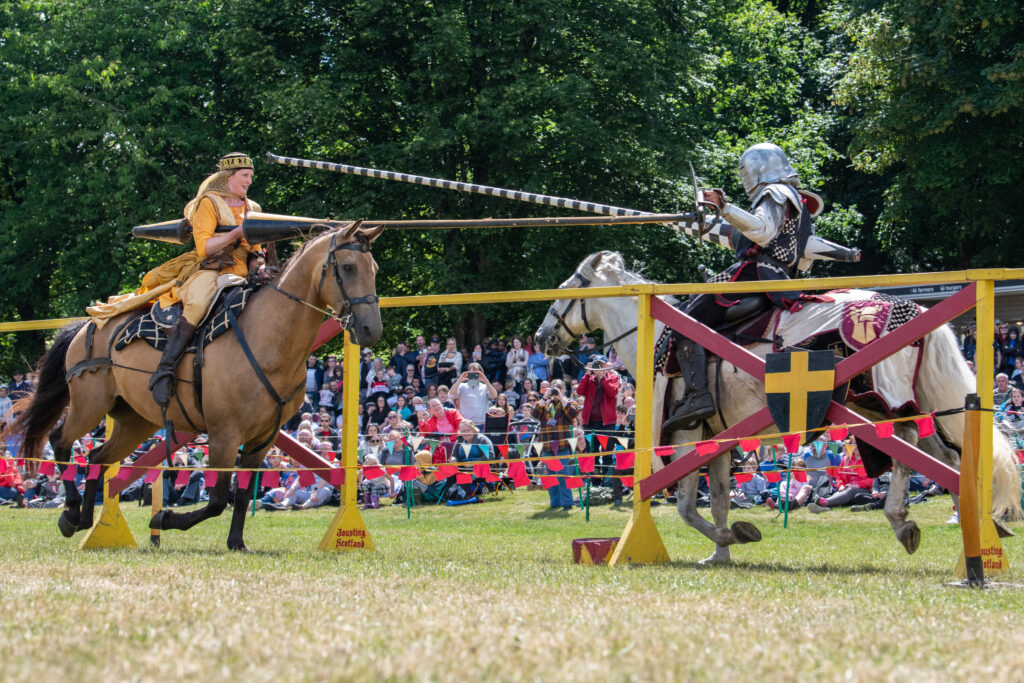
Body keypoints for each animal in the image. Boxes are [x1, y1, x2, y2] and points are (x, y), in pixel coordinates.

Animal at [7, 222, 385, 552]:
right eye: (348, 267)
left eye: (374, 268)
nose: (371, 330)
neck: (268, 338)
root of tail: (89, 325)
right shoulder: (224, 435)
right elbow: (217, 499)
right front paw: (165, 517)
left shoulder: (261, 439)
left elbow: (241, 494)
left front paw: (237, 543)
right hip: (90, 405)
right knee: (61, 440)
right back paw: (71, 513)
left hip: (136, 421)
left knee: (97, 457)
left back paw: (85, 520)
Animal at [536, 253, 1024, 565]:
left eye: (564, 290)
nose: (541, 337)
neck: (654, 337)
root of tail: (913, 309)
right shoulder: (717, 442)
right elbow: (716, 502)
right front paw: (721, 552)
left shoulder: (685, 438)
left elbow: (687, 508)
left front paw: (734, 537)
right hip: (888, 405)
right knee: (943, 457)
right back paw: (984, 528)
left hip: (878, 403)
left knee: (909, 451)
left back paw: (902, 521)